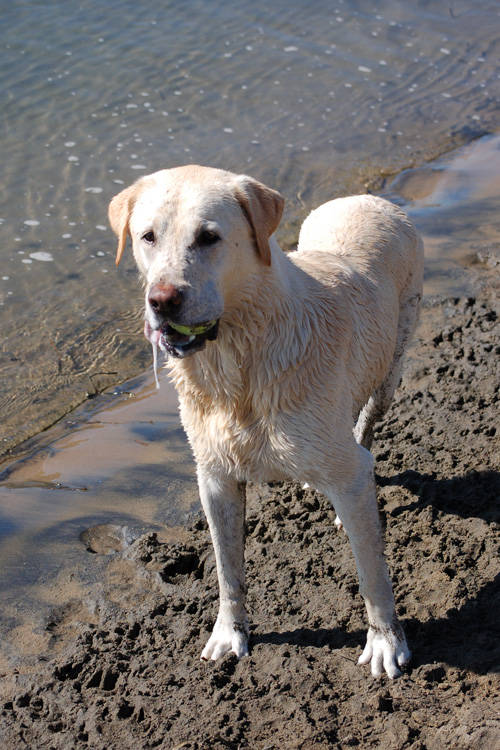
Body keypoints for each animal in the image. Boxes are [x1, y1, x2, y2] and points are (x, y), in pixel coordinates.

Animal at [108, 166, 422, 680]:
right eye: (147, 236)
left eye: (209, 237)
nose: (163, 301)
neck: (239, 360)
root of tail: (368, 198)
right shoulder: (214, 477)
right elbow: (227, 569)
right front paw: (228, 633)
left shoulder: (346, 469)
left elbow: (373, 574)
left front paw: (385, 642)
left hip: (393, 363)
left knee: (366, 428)